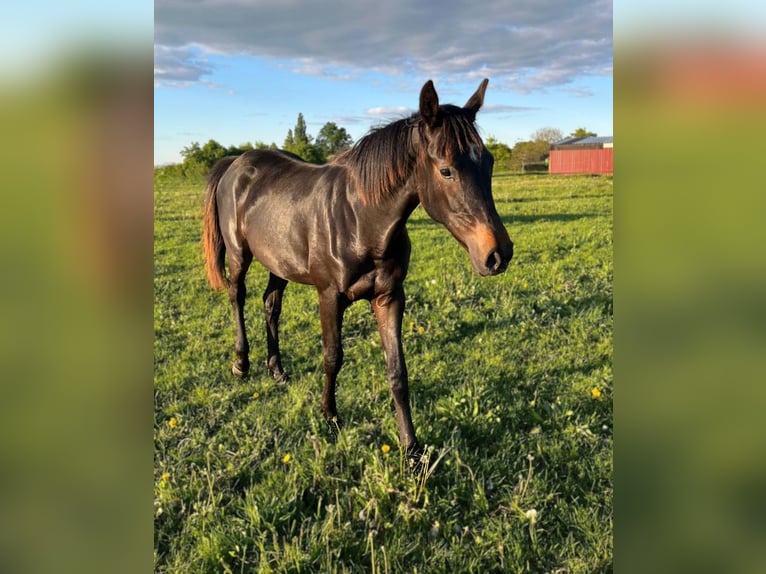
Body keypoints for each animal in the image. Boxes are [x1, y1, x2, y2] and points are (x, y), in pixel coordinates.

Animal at [202, 79, 513, 458]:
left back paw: (276, 369)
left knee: (270, 305)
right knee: (238, 297)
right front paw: (330, 416)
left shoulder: (389, 297)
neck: (361, 220)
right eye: (446, 170)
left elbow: (398, 371)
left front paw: (411, 448)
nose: (498, 254)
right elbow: (332, 357)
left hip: (280, 262)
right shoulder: (329, 297)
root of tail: (237, 162)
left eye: (489, 162)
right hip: (238, 254)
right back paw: (241, 364)